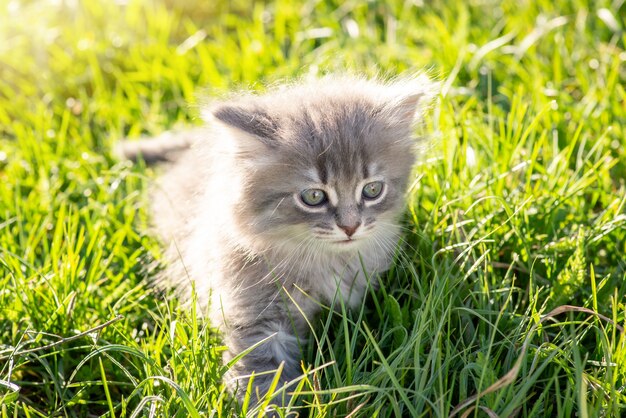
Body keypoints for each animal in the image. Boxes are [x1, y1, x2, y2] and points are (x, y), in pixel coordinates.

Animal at [119, 74, 436, 412]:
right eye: (313, 196)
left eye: (372, 190)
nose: (350, 227)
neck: (321, 261)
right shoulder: (257, 320)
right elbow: (262, 379)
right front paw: (272, 410)